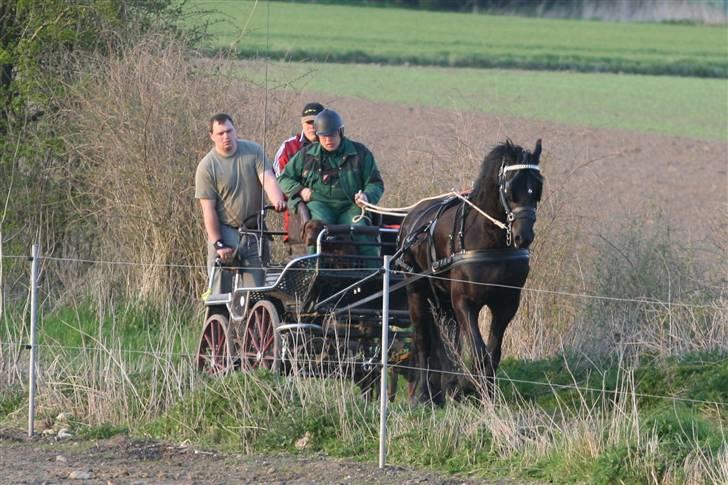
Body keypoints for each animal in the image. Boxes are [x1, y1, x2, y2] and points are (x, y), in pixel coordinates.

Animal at [396, 138, 544, 402]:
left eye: (537, 188)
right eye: (510, 188)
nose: (523, 236)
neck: (490, 242)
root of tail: (412, 217)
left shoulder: (506, 305)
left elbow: (493, 353)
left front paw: (487, 393)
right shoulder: (464, 302)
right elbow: (478, 350)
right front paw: (469, 386)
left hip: (442, 299)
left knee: (446, 342)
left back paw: (444, 387)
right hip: (416, 290)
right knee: (423, 339)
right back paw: (423, 393)